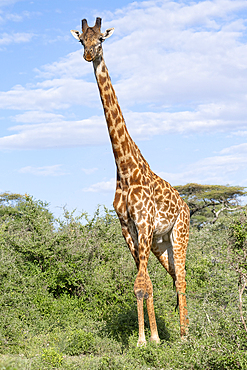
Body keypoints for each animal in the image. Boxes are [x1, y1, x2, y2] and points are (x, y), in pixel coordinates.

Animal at [70, 17, 190, 346]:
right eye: (81, 40)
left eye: (101, 38)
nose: (88, 55)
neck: (124, 168)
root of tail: (187, 205)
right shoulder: (128, 228)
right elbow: (143, 284)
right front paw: (149, 338)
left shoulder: (145, 224)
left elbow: (141, 284)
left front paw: (148, 340)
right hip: (161, 245)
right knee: (174, 277)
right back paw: (183, 330)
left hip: (179, 235)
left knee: (182, 279)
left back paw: (186, 337)